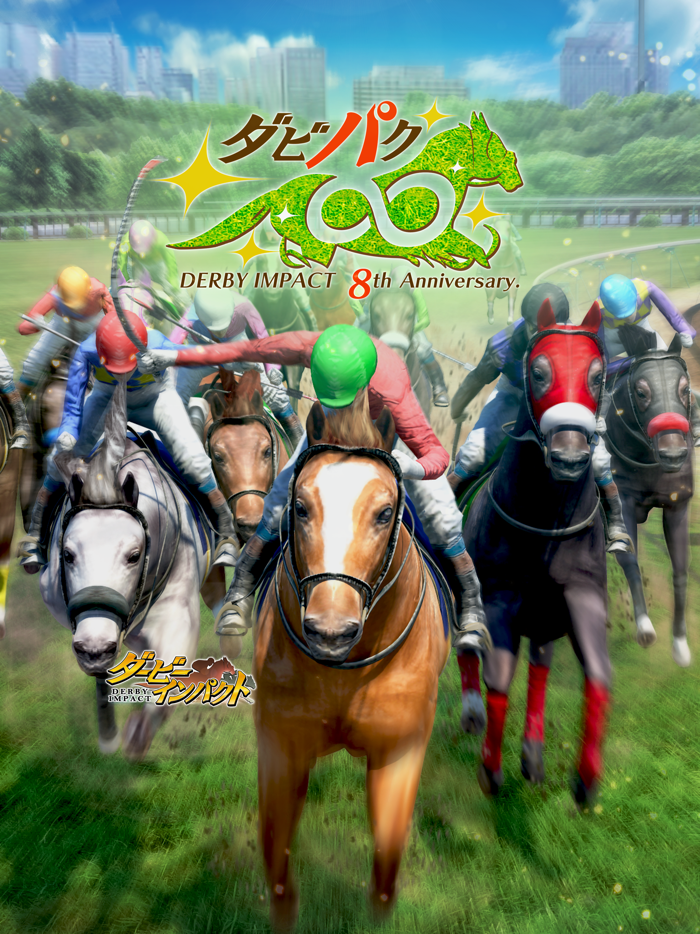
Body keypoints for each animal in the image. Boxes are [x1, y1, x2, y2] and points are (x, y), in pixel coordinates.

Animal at [38, 376, 221, 760]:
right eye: (68, 554)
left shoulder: (179, 616)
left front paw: (136, 735)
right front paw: (108, 735)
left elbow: (169, 681)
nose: (94, 648)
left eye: (134, 555)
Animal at [253, 390, 450, 930]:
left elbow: (385, 869)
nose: (330, 632)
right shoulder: (280, 746)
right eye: (300, 507)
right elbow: (277, 867)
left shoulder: (400, 752)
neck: (344, 672)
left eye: (384, 514)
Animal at [463, 300, 611, 806]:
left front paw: (586, 779)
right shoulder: (499, 596)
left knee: (541, 664)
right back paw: (472, 712)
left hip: (545, 618)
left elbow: (599, 675)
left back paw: (532, 753)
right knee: (467, 648)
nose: (569, 457)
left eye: (599, 375)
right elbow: (498, 675)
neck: (547, 524)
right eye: (539, 372)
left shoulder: (582, 594)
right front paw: (490, 769)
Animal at [604, 337, 694, 666]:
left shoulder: (678, 505)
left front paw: (680, 644)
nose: (673, 454)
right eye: (642, 392)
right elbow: (629, 559)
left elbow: (680, 571)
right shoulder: (623, 502)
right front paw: (644, 628)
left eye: (684, 388)